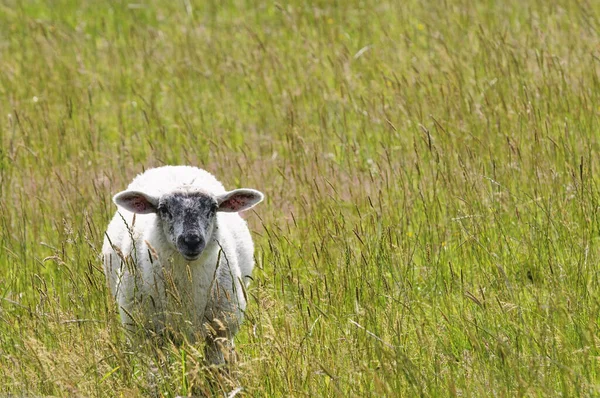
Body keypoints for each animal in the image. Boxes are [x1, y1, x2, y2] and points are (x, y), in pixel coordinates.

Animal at [102, 165, 264, 364]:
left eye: (213, 208)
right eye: (163, 209)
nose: (192, 241)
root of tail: (174, 166)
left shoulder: (218, 334)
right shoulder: (149, 336)